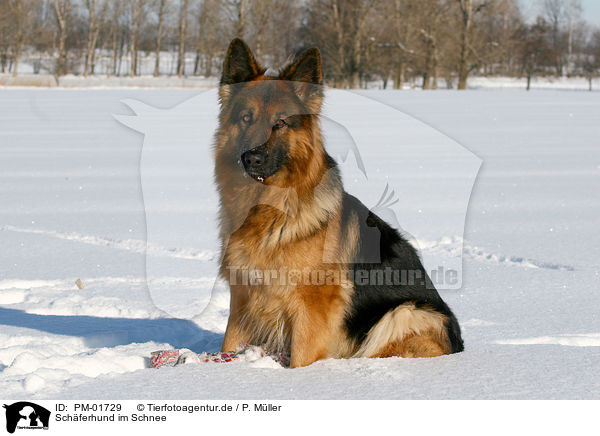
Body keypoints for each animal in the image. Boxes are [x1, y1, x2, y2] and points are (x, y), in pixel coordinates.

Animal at [216, 38, 464, 368]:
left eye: (280, 122)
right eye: (246, 118)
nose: (251, 158)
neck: (271, 211)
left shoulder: (311, 308)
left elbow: (301, 359)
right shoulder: (243, 296)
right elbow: (227, 344)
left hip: (403, 314)